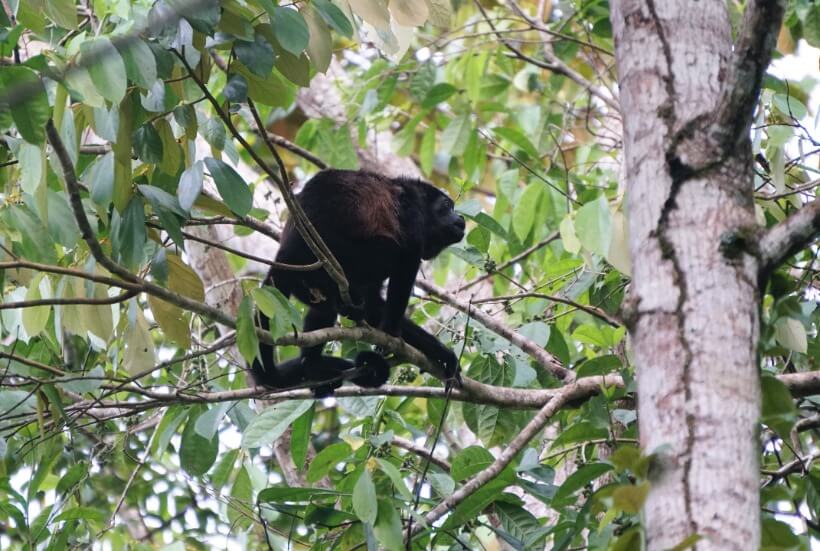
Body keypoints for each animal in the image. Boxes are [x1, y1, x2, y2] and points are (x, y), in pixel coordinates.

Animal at [251, 169, 466, 397]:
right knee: (391, 251)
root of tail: (288, 250)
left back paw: (312, 363)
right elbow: (406, 260)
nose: (460, 217)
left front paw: (441, 354)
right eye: (446, 206)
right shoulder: (413, 215)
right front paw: (390, 333)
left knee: (324, 308)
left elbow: (374, 305)